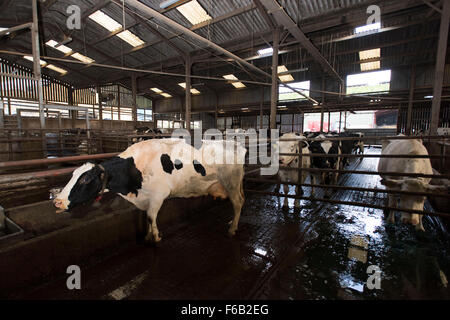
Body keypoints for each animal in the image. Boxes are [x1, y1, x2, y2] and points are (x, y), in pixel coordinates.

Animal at [55, 138, 250, 242]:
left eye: (85, 179)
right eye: (73, 175)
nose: (57, 201)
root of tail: (235, 144)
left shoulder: (158, 195)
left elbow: (150, 216)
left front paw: (155, 237)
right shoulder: (147, 198)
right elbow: (147, 217)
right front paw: (149, 234)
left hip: (231, 183)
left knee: (237, 203)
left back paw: (232, 229)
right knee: (241, 201)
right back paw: (231, 223)